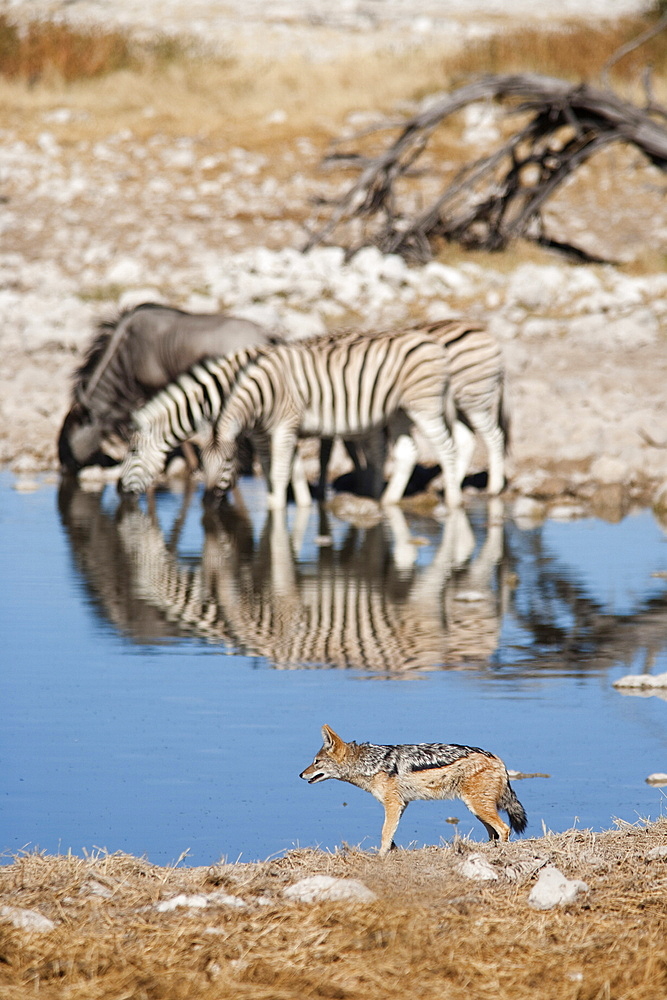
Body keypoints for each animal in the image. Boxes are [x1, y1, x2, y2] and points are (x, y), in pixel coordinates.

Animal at [57, 302, 274, 474]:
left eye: (67, 436)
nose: (64, 467)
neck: (127, 354)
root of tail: (266, 336)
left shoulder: (157, 389)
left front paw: (190, 466)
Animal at [201, 326, 464, 508]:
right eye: (203, 463)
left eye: (228, 461)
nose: (206, 502)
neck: (265, 390)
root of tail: (433, 343)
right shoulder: (273, 431)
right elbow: (282, 469)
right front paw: (280, 503)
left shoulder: (286, 424)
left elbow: (279, 471)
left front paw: (276, 510)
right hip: (400, 412)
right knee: (407, 454)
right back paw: (388, 501)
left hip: (425, 406)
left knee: (447, 448)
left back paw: (453, 500)